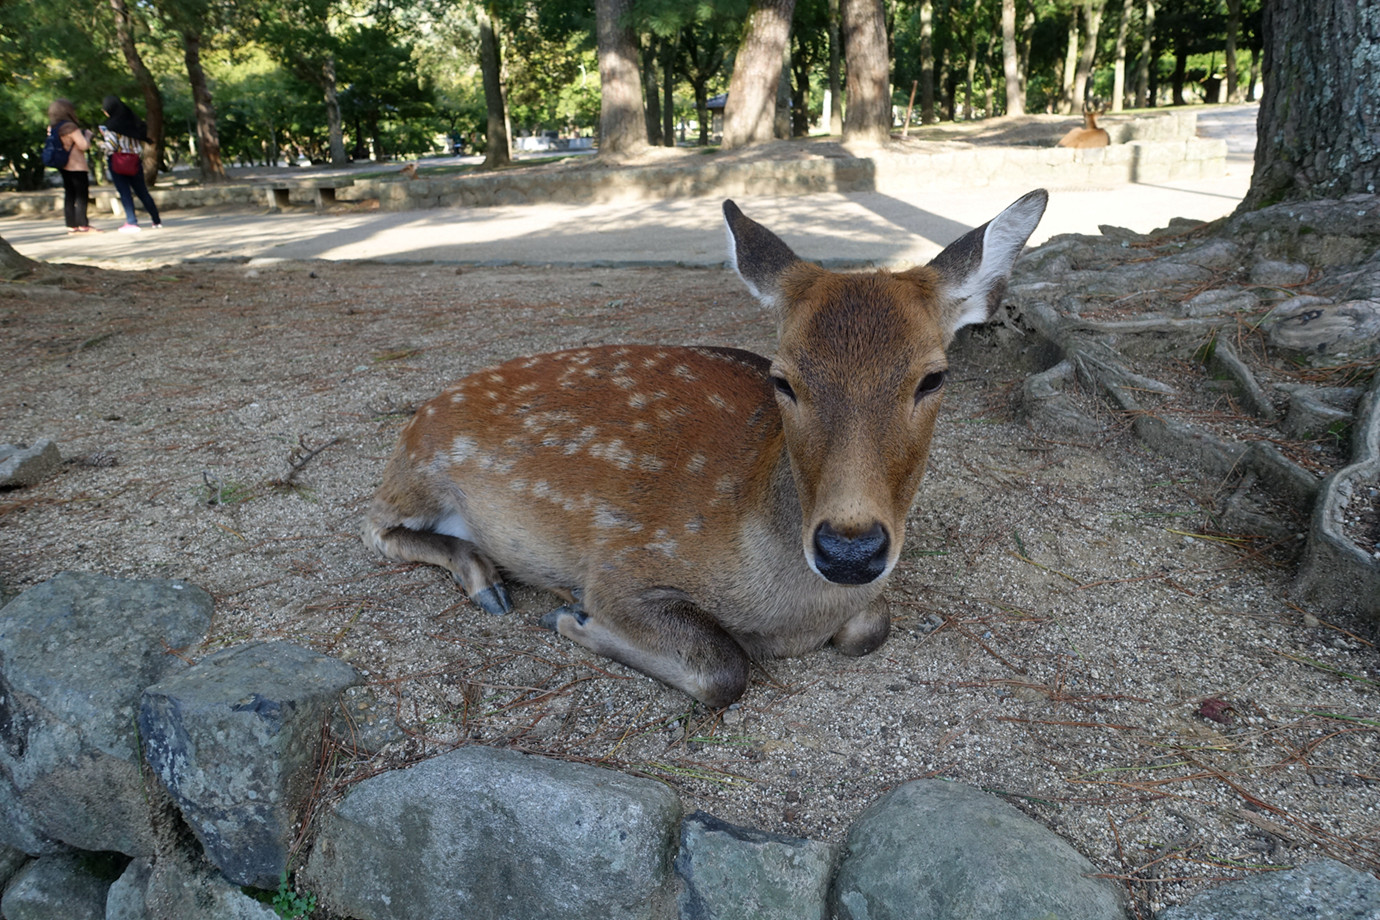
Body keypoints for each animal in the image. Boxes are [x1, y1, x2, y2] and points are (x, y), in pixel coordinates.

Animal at [364, 193, 1043, 706]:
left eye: (934, 377)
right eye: (782, 378)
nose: (850, 550)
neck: (792, 612)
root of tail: (422, 411)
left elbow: (872, 627)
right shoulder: (622, 564)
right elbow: (722, 668)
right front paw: (571, 619)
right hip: (420, 468)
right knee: (373, 526)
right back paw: (485, 582)